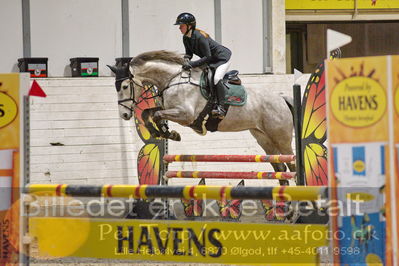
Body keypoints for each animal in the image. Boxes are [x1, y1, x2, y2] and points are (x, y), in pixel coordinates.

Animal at [109, 50, 296, 177]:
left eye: (124, 86)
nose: (124, 115)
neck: (173, 80)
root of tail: (281, 99)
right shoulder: (168, 109)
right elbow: (148, 113)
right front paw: (162, 132)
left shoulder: (185, 115)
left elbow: (156, 115)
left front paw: (168, 133)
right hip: (263, 139)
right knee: (280, 168)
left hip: (281, 138)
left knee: (292, 164)